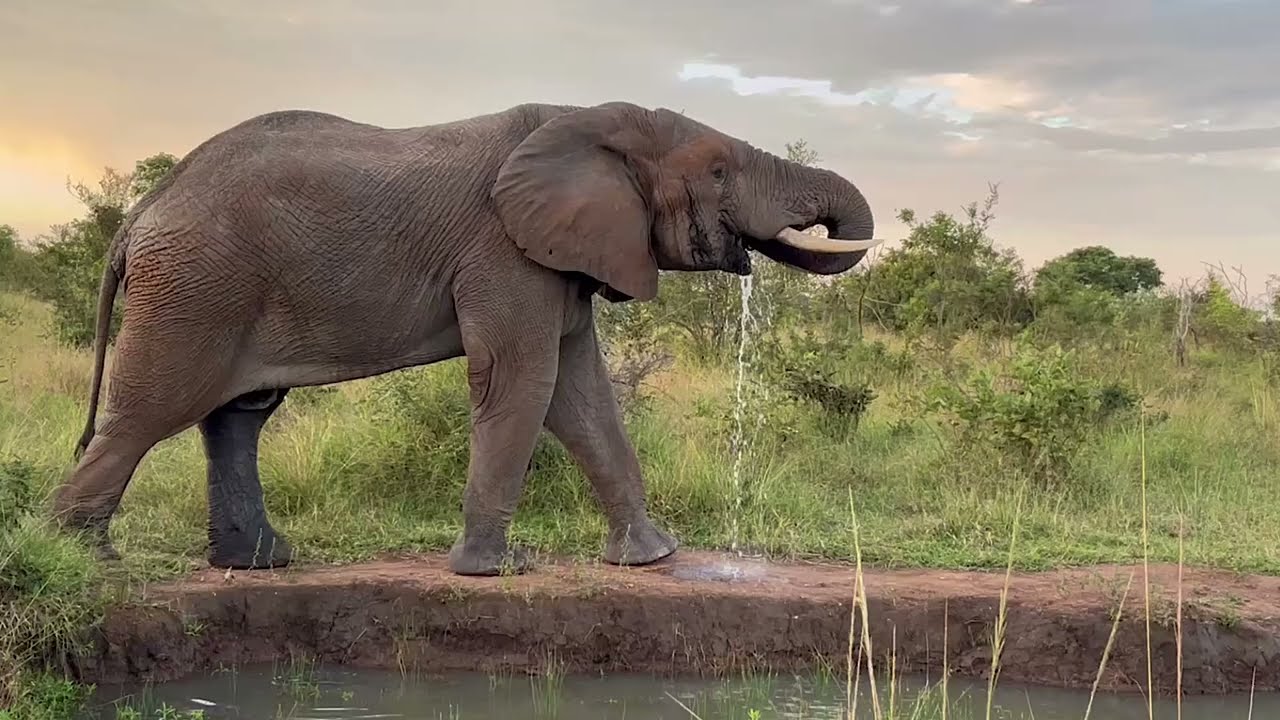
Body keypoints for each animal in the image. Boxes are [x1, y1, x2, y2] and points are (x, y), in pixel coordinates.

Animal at [49, 100, 882, 576]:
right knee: (149, 413)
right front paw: (499, 570)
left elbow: (582, 396)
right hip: (196, 287)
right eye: (716, 169)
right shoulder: (503, 250)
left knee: (237, 417)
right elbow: (523, 380)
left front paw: (653, 557)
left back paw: (263, 562)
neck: (585, 117)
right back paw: (84, 560)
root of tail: (141, 211)